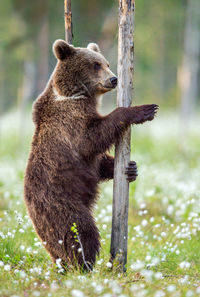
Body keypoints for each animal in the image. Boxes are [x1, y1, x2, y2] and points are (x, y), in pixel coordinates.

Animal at [23, 40, 158, 270]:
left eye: (107, 63)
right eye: (95, 65)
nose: (114, 79)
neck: (75, 94)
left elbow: (98, 159)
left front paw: (130, 168)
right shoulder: (70, 121)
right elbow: (91, 140)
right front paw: (145, 110)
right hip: (58, 201)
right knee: (80, 230)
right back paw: (83, 264)